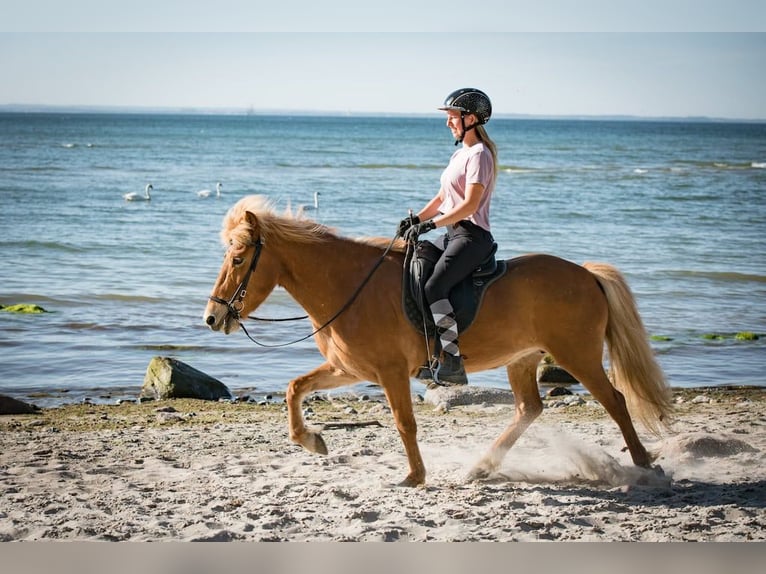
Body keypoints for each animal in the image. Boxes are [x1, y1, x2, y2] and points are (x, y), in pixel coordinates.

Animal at [203, 195, 673, 487]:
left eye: (239, 259)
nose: (212, 317)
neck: (351, 286)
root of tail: (586, 274)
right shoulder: (347, 369)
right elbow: (294, 387)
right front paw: (312, 441)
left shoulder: (390, 372)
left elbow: (404, 423)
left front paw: (414, 476)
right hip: (522, 358)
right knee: (529, 409)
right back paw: (481, 468)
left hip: (577, 355)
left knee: (614, 400)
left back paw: (646, 466)